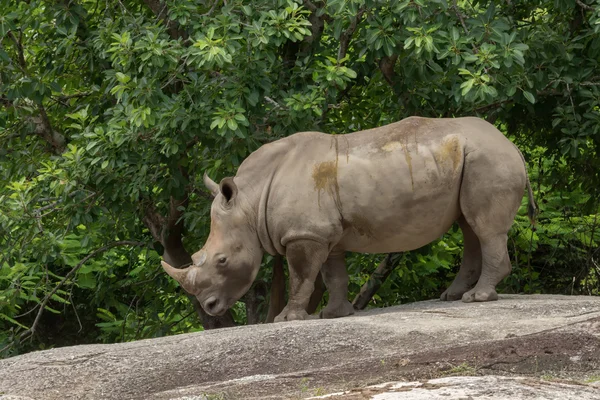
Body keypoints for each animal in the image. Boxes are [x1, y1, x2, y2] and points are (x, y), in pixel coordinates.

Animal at [158, 115, 536, 322]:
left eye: (222, 260)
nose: (209, 306)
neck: (250, 200)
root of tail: (513, 145)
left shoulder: (304, 234)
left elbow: (301, 277)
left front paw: (287, 319)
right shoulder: (323, 233)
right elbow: (333, 273)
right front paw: (333, 315)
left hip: (488, 159)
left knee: (484, 228)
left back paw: (477, 298)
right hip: (474, 159)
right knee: (469, 226)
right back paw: (453, 297)